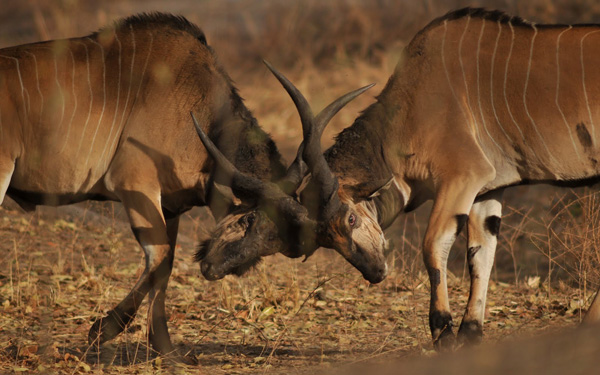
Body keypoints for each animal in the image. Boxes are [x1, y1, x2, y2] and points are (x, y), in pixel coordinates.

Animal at [195, 8, 600, 350]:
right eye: (324, 239)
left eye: (351, 218)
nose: (375, 272)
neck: (413, 105)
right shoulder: (489, 190)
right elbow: (480, 254)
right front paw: (470, 333)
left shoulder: (463, 177)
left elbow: (433, 244)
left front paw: (443, 332)